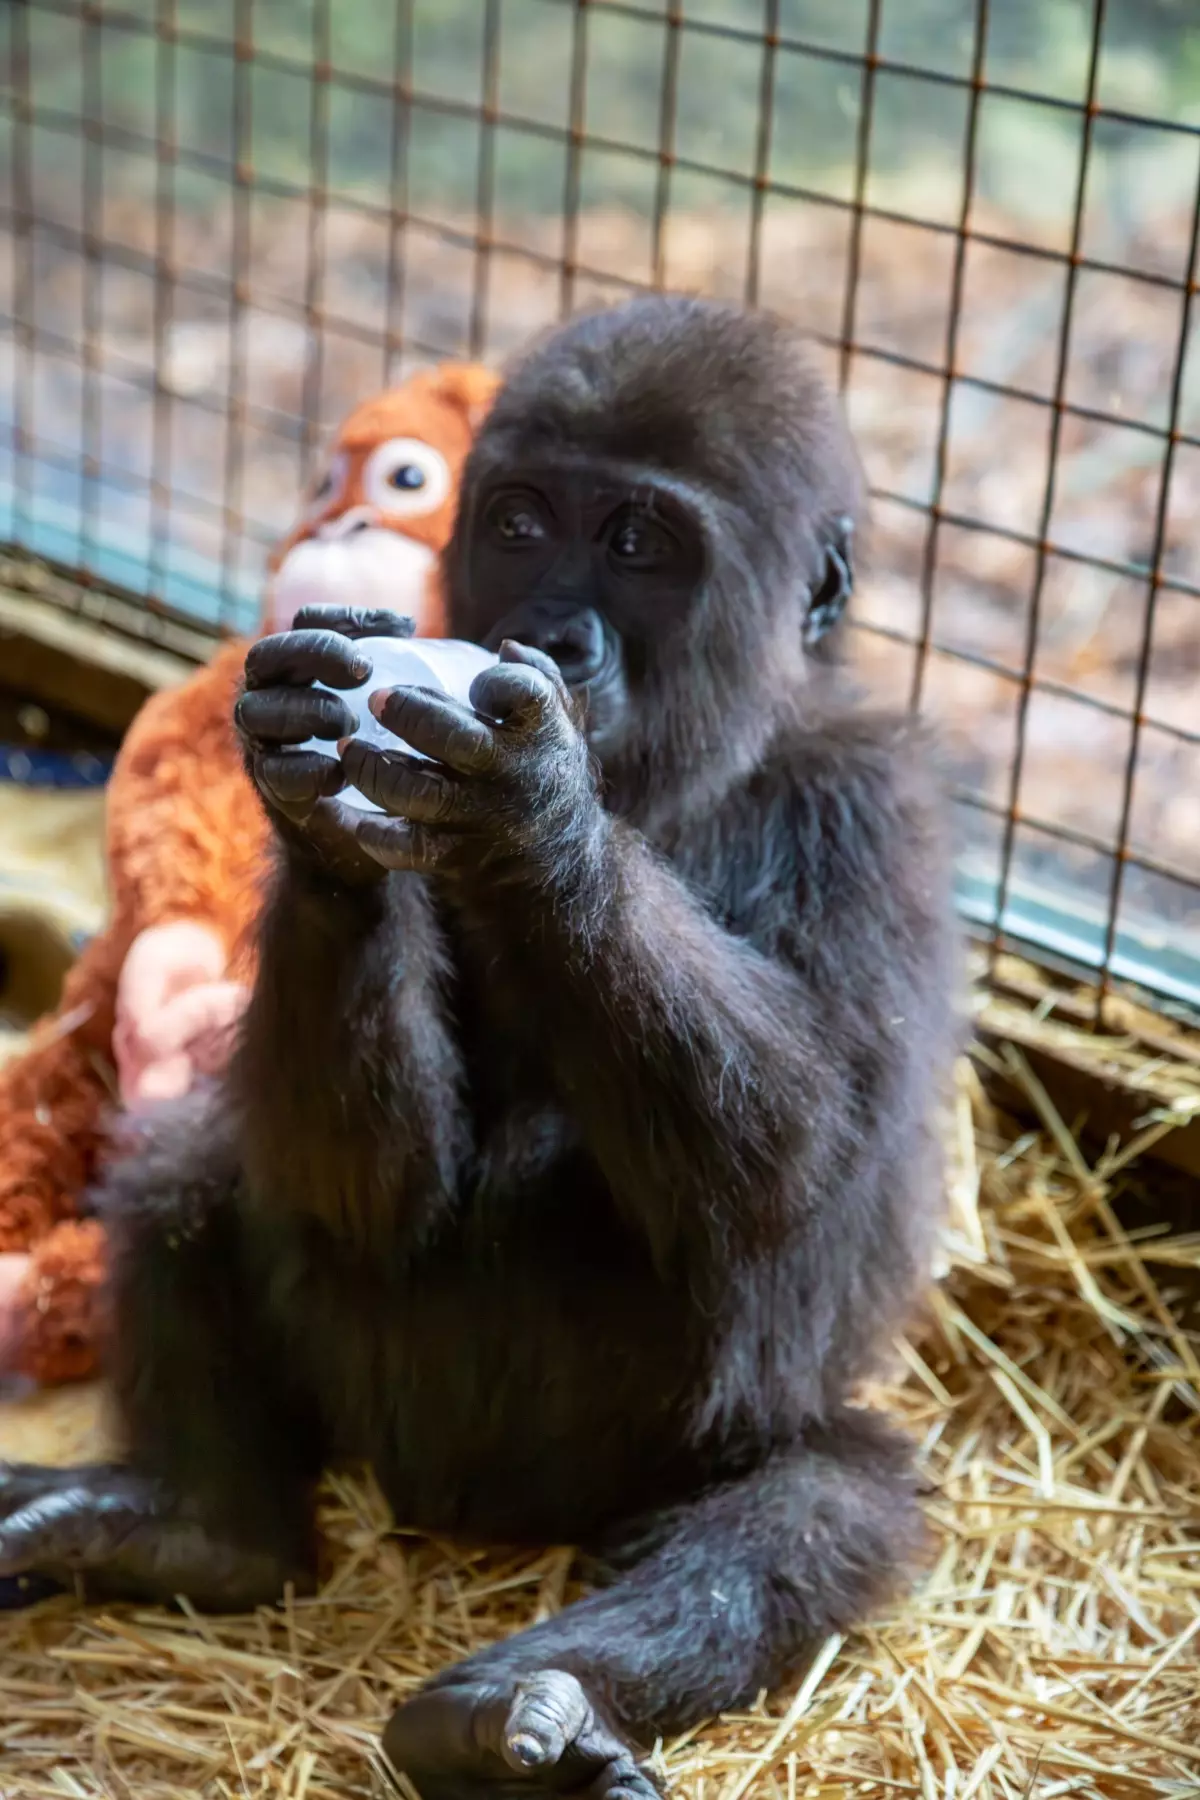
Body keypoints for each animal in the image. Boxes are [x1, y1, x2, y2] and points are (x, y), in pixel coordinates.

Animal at [0, 298, 957, 1800]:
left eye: (637, 543)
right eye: (516, 523)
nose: (550, 633)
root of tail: (455, 1515)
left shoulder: (873, 811)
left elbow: (795, 1174)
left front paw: (537, 814)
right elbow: (361, 1186)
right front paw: (316, 810)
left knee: (820, 1503)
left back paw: (522, 1704)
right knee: (191, 1175)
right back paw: (197, 1527)